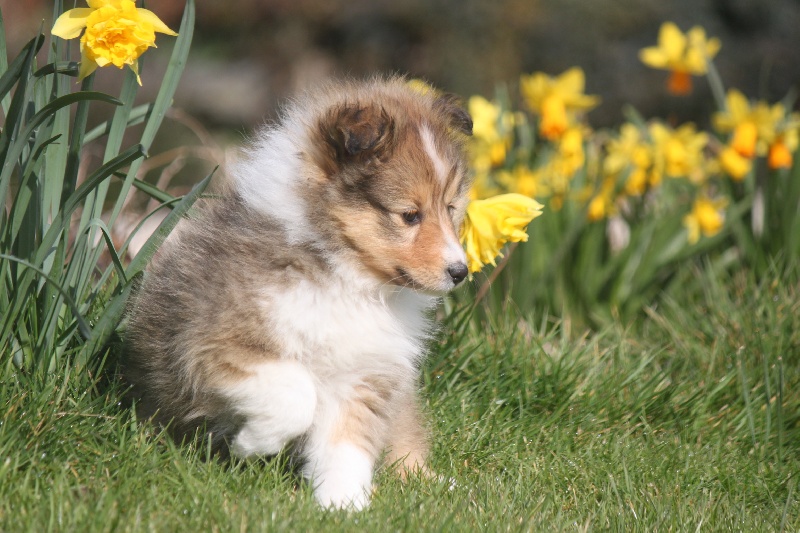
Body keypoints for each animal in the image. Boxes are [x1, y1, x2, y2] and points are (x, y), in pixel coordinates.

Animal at [123, 76, 473, 510]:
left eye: (451, 207)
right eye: (410, 215)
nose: (460, 272)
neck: (348, 279)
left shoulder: (364, 375)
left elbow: (347, 446)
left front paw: (343, 506)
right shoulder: (214, 343)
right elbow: (295, 394)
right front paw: (252, 445)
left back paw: (440, 487)